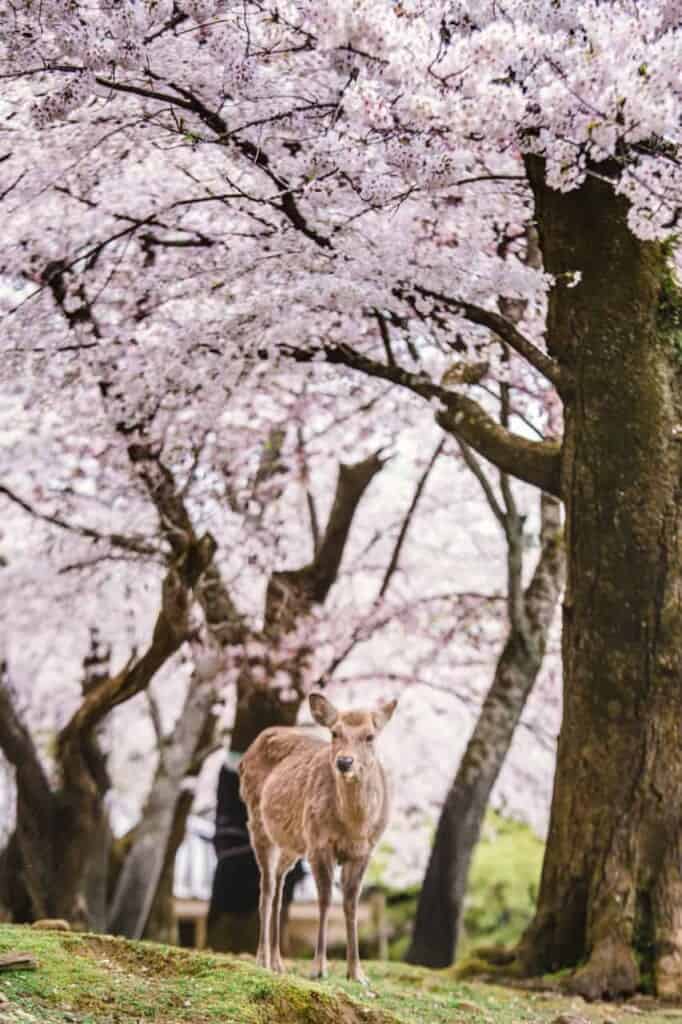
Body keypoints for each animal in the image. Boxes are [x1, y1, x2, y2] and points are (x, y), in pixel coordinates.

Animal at [239, 691, 398, 985]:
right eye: (335, 733)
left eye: (370, 736)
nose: (344, 762)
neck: (355, 826)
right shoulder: (319, 843)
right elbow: (325, 900)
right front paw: (318, 968)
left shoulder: (364, 851)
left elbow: (351, 903)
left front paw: (357, 973)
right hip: (258, 823)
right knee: (266, 888)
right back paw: (262, 960)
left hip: (292, 844)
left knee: (280, 885)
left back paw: (278, 963)